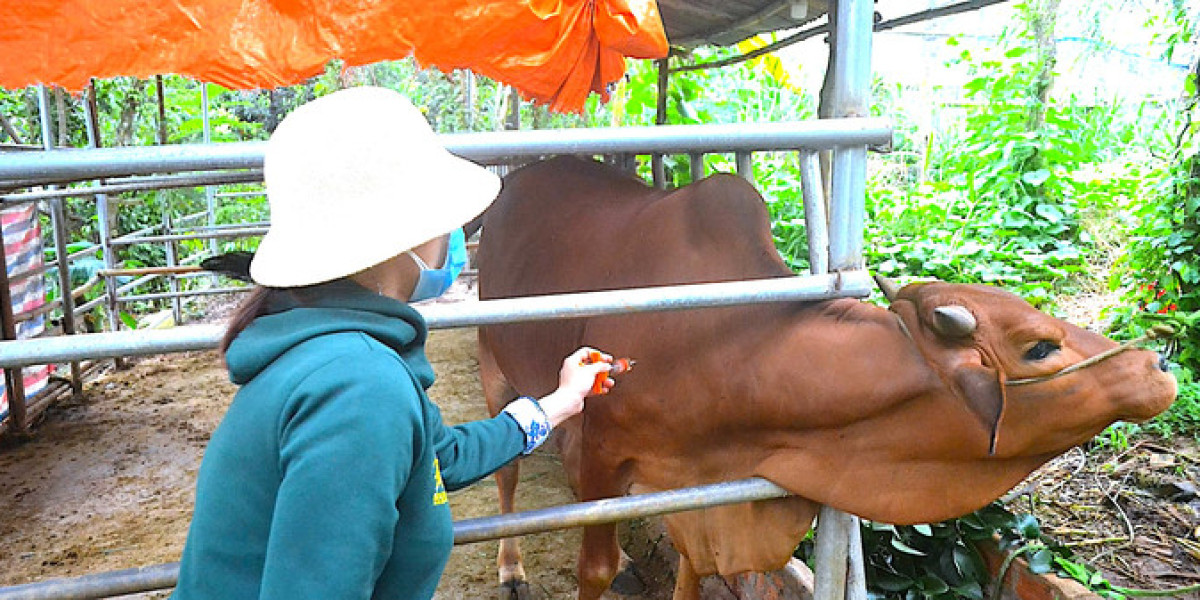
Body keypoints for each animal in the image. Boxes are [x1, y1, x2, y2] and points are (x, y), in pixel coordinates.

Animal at [472, 157, 1176, 600]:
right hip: (493, 361)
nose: (1157, 366)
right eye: (1039, 347)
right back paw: (510, 569)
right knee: (506, 471)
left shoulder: (696, 489)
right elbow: (593, 568)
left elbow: (690, 570)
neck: (741, 345)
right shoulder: (601, 452)